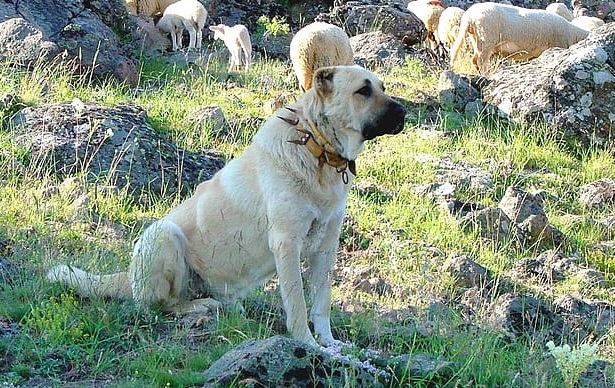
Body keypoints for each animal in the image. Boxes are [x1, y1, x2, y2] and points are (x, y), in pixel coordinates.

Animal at [45, 65, 406, 348]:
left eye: (383, 87)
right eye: (363, 90)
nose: (403, 113)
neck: (316, 147)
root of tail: (128, 275)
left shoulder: (326, 248)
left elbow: (322, 304)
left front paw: (330, 344)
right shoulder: (287, 243)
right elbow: (299, 304)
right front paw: (307, 344)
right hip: (163, 234)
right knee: (161, 305)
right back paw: (202, 307)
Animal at [450, 2, 588, 75]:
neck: (573, 32)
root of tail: (469, 16)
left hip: (477, 39)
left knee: (474, 60)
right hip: (487, 38)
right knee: (481, 60)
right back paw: (486, 74)